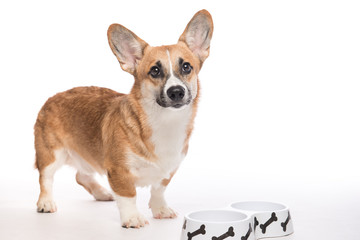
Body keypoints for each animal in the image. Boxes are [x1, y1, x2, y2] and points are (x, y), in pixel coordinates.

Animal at [33, 9, 212, 228]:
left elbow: (158, 189)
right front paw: (132, 218)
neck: (165, 123)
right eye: (155, 71)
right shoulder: (119, 171)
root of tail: (52, 97)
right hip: (51, 155)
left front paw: (161, 209)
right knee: (46, 178)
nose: (176, 92)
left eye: (187, 67)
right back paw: (46, 202)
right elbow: (128, 195)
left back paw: (101, 193)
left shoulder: (168, 170)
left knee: (81, 175)